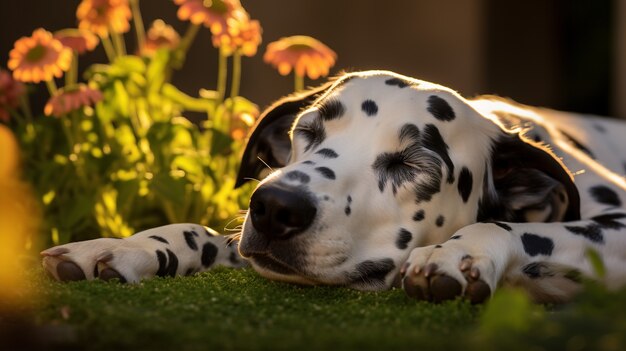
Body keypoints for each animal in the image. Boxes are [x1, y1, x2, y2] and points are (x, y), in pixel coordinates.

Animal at [42, 70, 624, 304]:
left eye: (413, 163)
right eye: (309, 131)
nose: (275, 207)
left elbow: (512, 228)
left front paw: (457, 253)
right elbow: (199, 232)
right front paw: (127, 247)